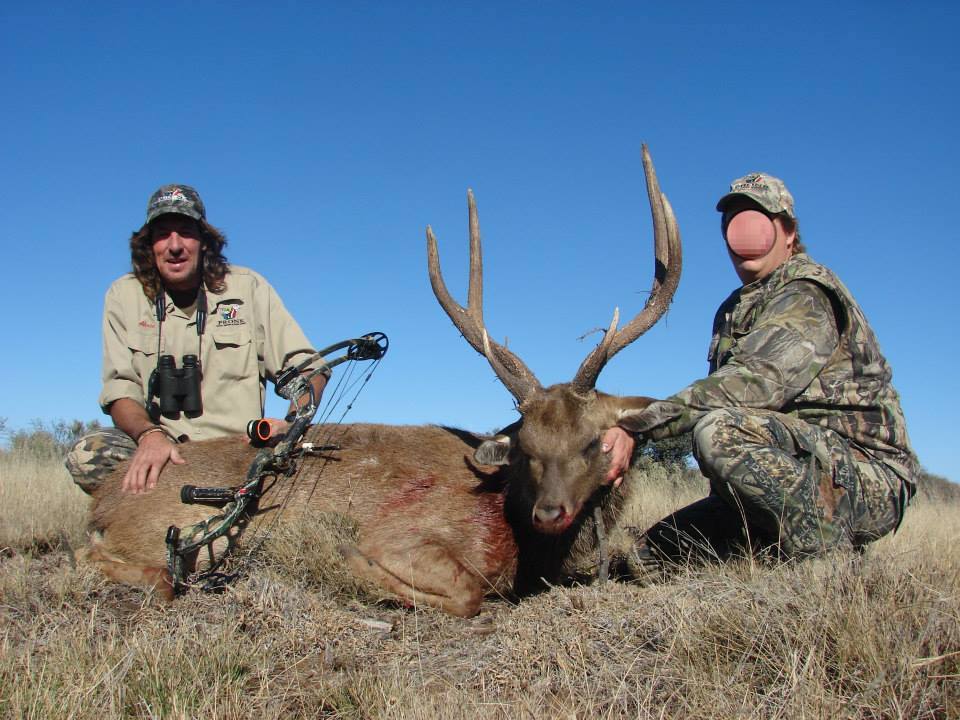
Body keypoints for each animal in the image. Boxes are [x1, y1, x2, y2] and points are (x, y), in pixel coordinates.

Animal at [80, 144, 681, 617]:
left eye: (593, 443)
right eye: (526, 448)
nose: (550, 512)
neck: (510, 526)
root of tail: (102, 504)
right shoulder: (400, 535)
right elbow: (467, 592)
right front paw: (346, 566)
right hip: (181, 533)